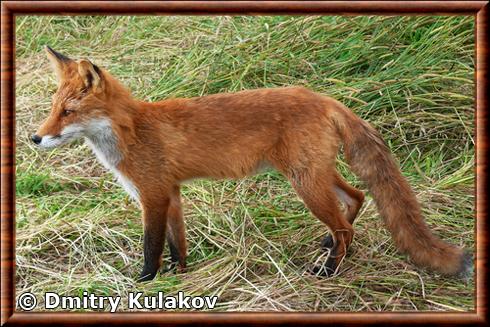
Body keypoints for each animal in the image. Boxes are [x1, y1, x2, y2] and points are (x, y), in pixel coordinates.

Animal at [33, 46, 470, 282]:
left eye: (68, 113)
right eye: (52, 109)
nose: (35, 138)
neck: (132, 131)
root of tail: (323, 98)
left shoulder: (153, 194)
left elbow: (151, 245)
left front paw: (145, 282)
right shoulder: (172, 192)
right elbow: (178, 243)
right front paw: (180, 275)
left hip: (305, 184)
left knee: (347, 224)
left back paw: (330, 270)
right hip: (315, 176)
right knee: (357, 198)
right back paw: (332, 248)